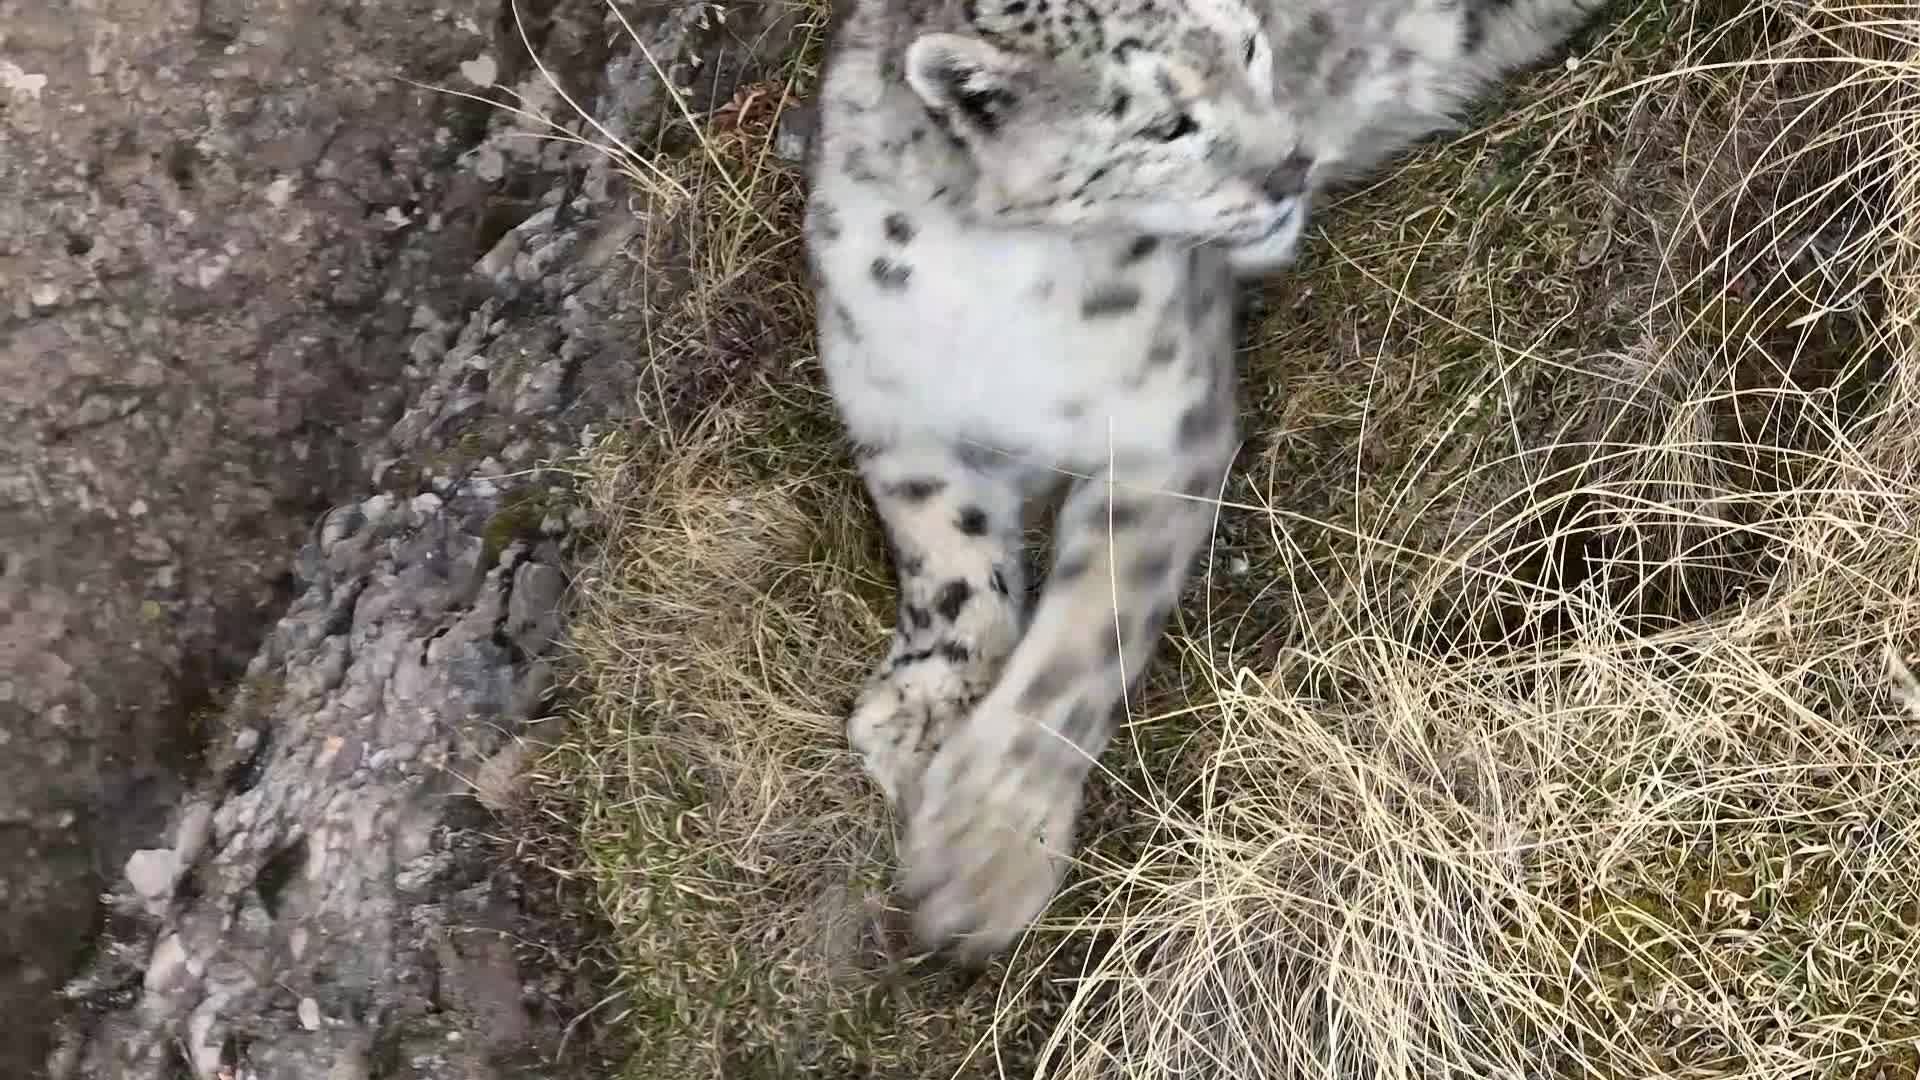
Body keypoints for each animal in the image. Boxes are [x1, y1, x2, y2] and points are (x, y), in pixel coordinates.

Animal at [802, 0, 1608, 961]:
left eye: (1253, 46)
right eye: (1163, 125)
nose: (1290, 163)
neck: (994, 287)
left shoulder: (1161, 421)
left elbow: (1079, 643)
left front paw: (983, 851)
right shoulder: (887, 395)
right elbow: (944, 552)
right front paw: (919, 709)